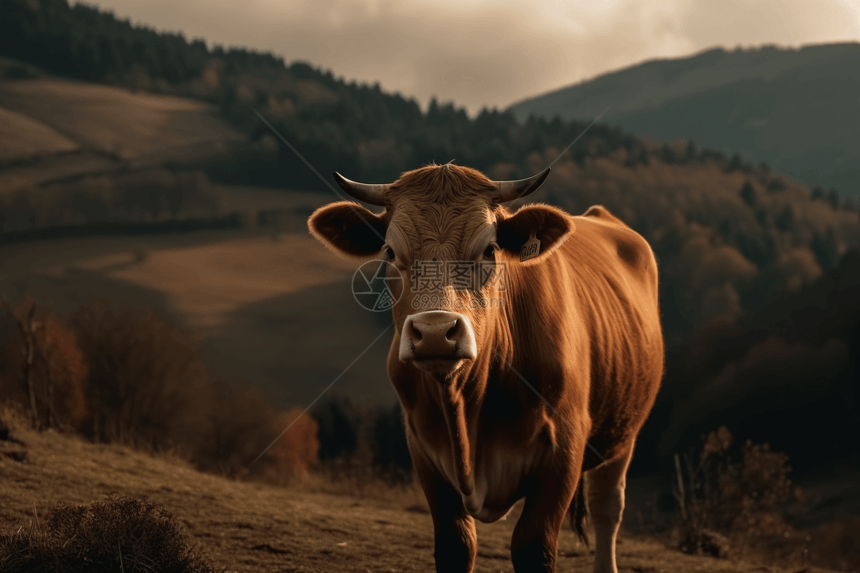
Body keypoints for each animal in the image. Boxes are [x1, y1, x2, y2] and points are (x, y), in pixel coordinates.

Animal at [310, 163, 664, 568]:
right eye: (389, 251)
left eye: (490, 249)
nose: (435, 332)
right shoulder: (424, 452)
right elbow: (457, 545)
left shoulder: (564, 447)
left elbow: (534, 546)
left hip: (623, 434)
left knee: (607, 509)